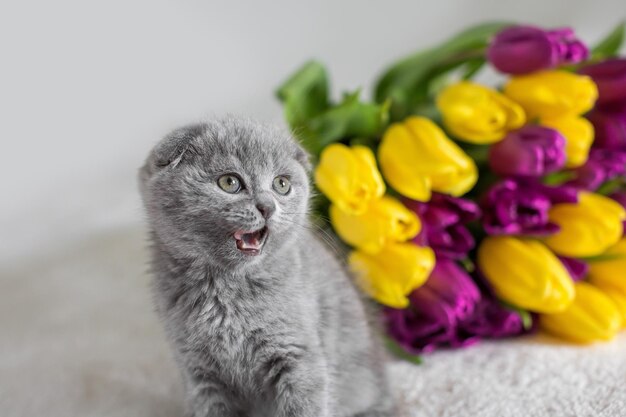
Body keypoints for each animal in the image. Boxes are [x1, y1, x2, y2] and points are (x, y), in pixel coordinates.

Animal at [139, 117, 392, 416]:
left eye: (281, 184)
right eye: (229, 182)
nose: (267, 207)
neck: (225, 289)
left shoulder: (298, 356)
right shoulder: (198, 373)